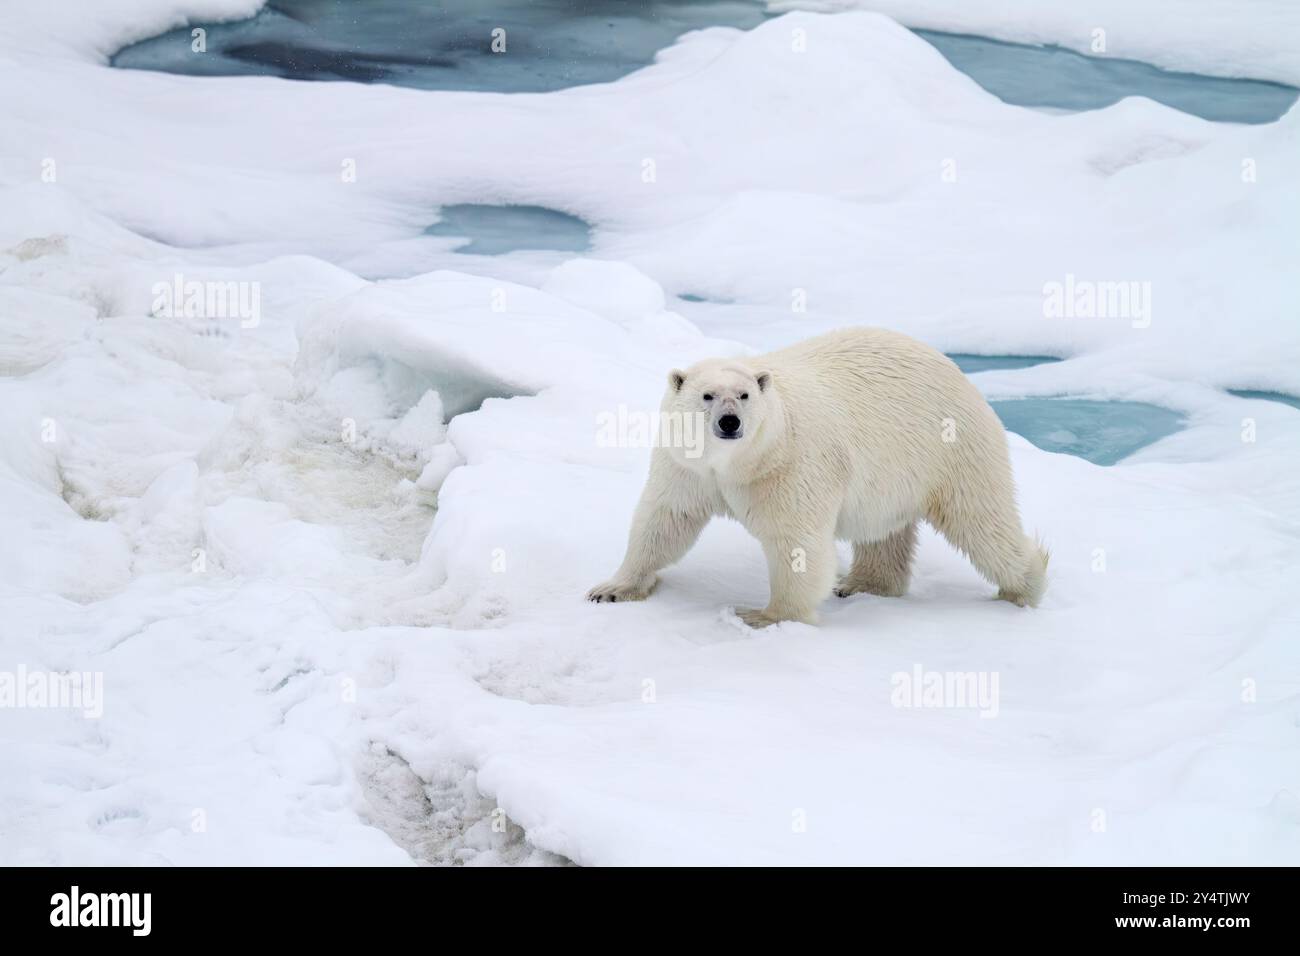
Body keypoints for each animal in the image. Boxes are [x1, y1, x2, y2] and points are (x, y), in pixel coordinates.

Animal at [590, 329, 1045, 629]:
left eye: (744, 395)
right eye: (707, 396)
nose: (730, 422)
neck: (738, 462)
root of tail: (958, 372)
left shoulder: (789, 464)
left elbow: (796, 541)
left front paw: (763, 616)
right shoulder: (687, 466)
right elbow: (666, 519)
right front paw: (611, 589)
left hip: (951, 447)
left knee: (982, 522)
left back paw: (1025, 586)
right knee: (883, 533)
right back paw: (862, 584)